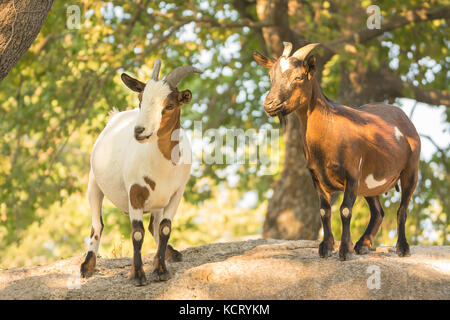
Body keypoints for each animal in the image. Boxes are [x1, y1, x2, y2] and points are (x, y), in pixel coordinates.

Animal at [80, 60, 201, 284]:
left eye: (169, 105)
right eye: (140, 100)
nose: (139, 131)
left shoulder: (176, 193)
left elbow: (165, 228)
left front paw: (161, 270)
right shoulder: (135, 191)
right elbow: (137, 233)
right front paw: (137, 275)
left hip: (158, 200)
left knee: (155, 225)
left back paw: (170, 254)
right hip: (94, 183)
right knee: (97, 225)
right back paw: (87, 266)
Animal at [255, 42, 420, 262]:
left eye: (299, 77)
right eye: (271, 76)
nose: (270, 104)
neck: (330, 128)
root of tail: (403, 117)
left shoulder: (352, 174)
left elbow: (345, 210)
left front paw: (344, 251)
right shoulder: (316, 177)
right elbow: (324, 211)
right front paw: (326, 247)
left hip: (410, 169)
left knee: (402, 209)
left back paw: (402, 248)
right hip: (368, 182)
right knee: (378, 211)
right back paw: (363, 244)